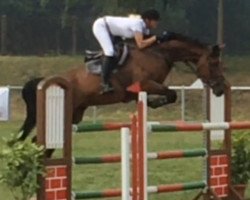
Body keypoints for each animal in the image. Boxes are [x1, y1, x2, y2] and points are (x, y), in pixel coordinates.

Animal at [18, 32, 229, 153]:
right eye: (213, 63)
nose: (220, 88)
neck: (159, 54)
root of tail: (46, 82)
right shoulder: (146, 83)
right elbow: (171, 94)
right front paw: (155, 103)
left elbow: (168, 95)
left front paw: (152, 103)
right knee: (40, 141)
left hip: (73, 116)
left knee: (44, 143)